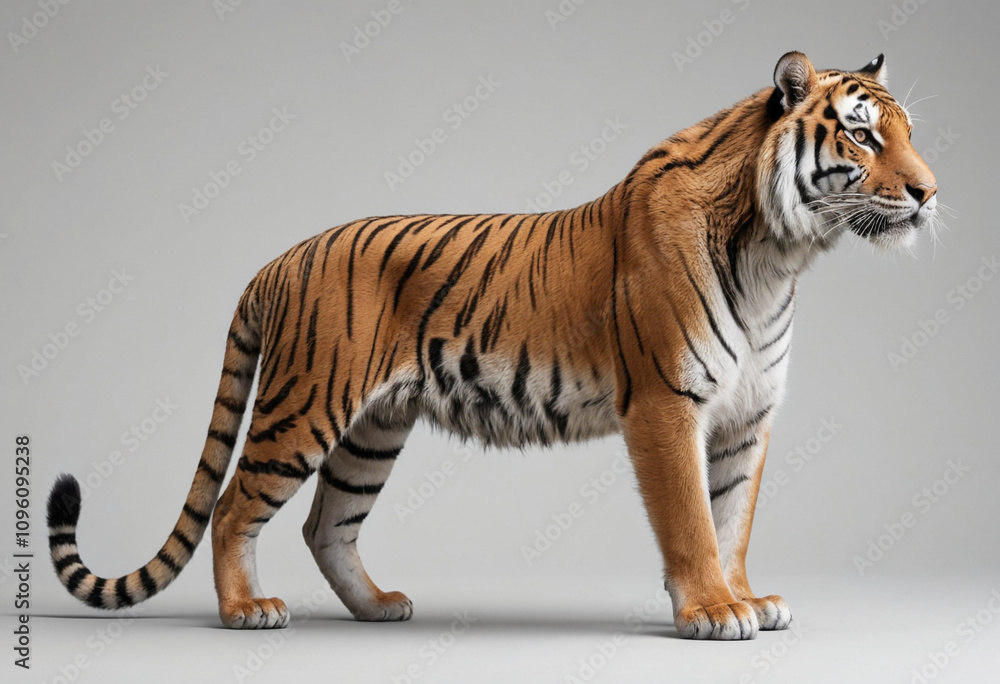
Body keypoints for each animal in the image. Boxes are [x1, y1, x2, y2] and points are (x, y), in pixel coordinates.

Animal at [47, 51, 937, 640]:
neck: (780, 256)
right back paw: (245, 611)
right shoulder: (665, 405)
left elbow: (733, 517)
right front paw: (713, 611)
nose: (930, 192)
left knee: (327, 524)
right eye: (861, 138)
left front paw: (747, 597)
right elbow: (691, 518)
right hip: (304, 406)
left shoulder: (747, 416)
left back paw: (378, 607)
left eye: (909, 133)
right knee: (236, 505)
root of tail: (280, 260)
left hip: (373, 429)